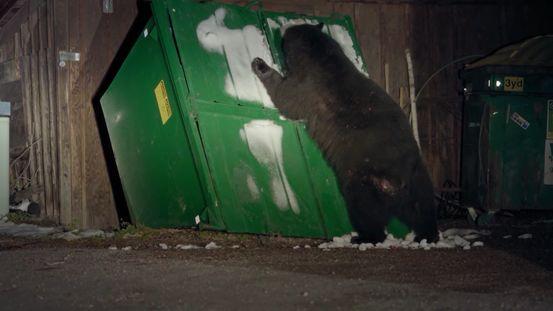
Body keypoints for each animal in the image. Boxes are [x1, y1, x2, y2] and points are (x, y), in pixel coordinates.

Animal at [250, 23, 436, 244]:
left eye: (287, 36)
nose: (283, 30)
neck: (323, 56)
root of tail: (399, 179)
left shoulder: (306, 90)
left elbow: (284, 97)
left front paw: (261, 67)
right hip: (418, 181)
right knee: (422, 208)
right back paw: (426, 234)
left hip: (362, 180)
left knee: (365, 211)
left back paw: (365, 237)